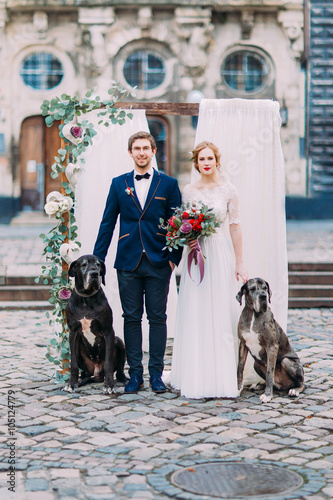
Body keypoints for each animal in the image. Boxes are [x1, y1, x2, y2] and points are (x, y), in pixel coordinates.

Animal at [63, 256, 126, 392]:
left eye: (98, 265)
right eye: (83, 265)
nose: (94, 274)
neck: (86, 299)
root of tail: (97, 373)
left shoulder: (108, 331)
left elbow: (108, 362)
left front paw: (109, 385)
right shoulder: (73, 332)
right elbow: (73, 364)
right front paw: (71, 384)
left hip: (118, 341)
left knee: (119, 370)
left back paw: (124, 379)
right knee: (85, 373)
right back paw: (81, 381)